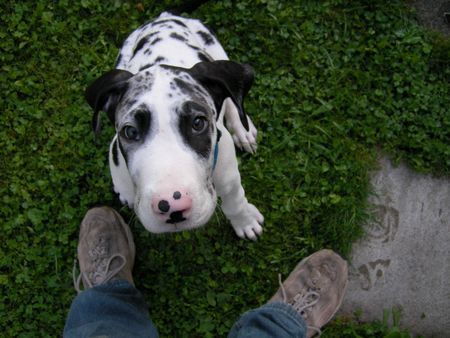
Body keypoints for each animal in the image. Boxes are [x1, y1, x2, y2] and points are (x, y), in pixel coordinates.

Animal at [85, 11, 264, 239]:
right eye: (130, 131)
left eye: (198, 123)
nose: (171, 206)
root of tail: (164, 15)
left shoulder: (228, 174)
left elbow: (235, 201)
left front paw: (245, 221)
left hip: (217, 51)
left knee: (234, 101)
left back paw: (243, 130)